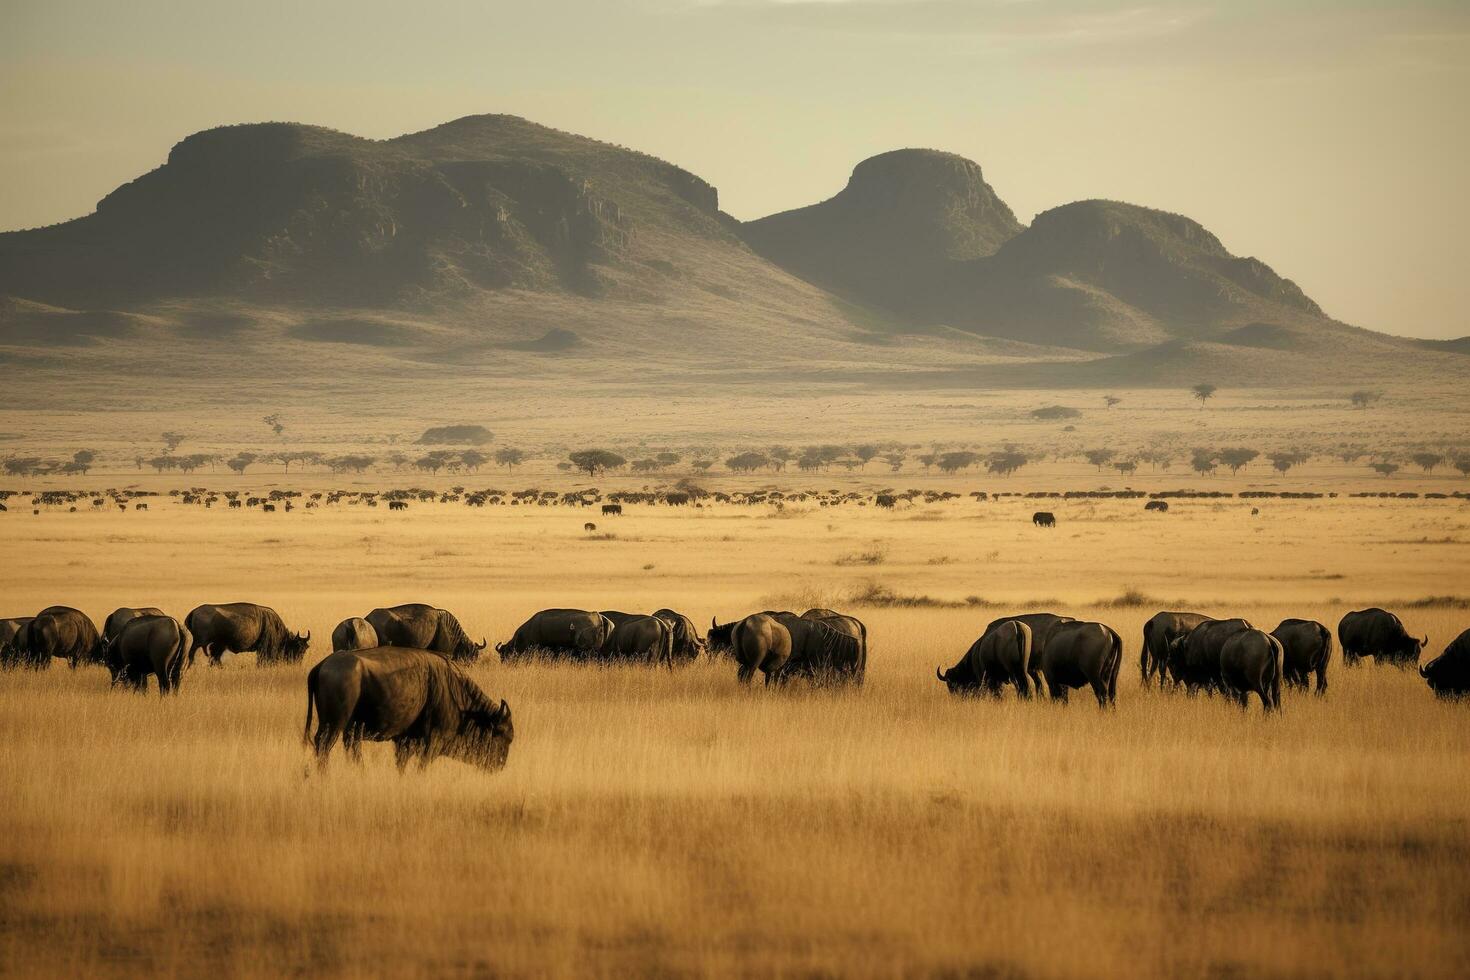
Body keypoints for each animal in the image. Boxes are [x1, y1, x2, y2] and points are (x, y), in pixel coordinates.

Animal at [301, 652, 514, 775]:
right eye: (501, 735)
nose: (500, 765)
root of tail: (323, 664)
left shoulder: (404, 741)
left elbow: (401, 764)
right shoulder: (433, 742)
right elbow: (421, 767)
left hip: (347, 727)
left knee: (349, 748)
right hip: (334, 725)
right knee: (325, 746)